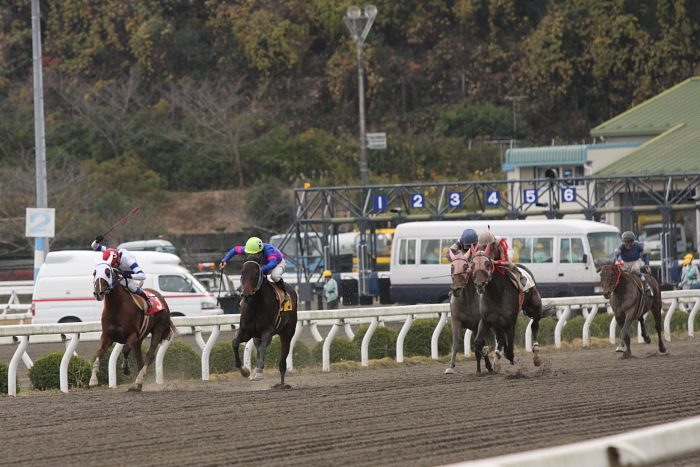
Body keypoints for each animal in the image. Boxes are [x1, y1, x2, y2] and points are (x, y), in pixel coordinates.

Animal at [89, 264, 176, 392]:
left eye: (108, 273)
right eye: (94, 273)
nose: (98, 293)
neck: (116, 307)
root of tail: (160, 296)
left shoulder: (133, 335)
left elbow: (125, 349)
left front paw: (126, 369)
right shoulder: (107, 336)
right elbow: (99, 352)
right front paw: (93, 378)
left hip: (158, 328)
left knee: (149, 355)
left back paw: (140, 378)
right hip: (139, 339)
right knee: (140, 361)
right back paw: (138, 387)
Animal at [230, 262, 296, 390]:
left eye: (256, 274)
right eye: (242, 272)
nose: (246, 295)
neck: (256, 304)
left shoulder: (268, 331)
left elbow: (262, 348)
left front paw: (259, 371)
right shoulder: (246, 332)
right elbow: (235, 343)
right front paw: (245, 371)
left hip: (287, 333)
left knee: (282, 360)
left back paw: (282, 384)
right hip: (256, 337)